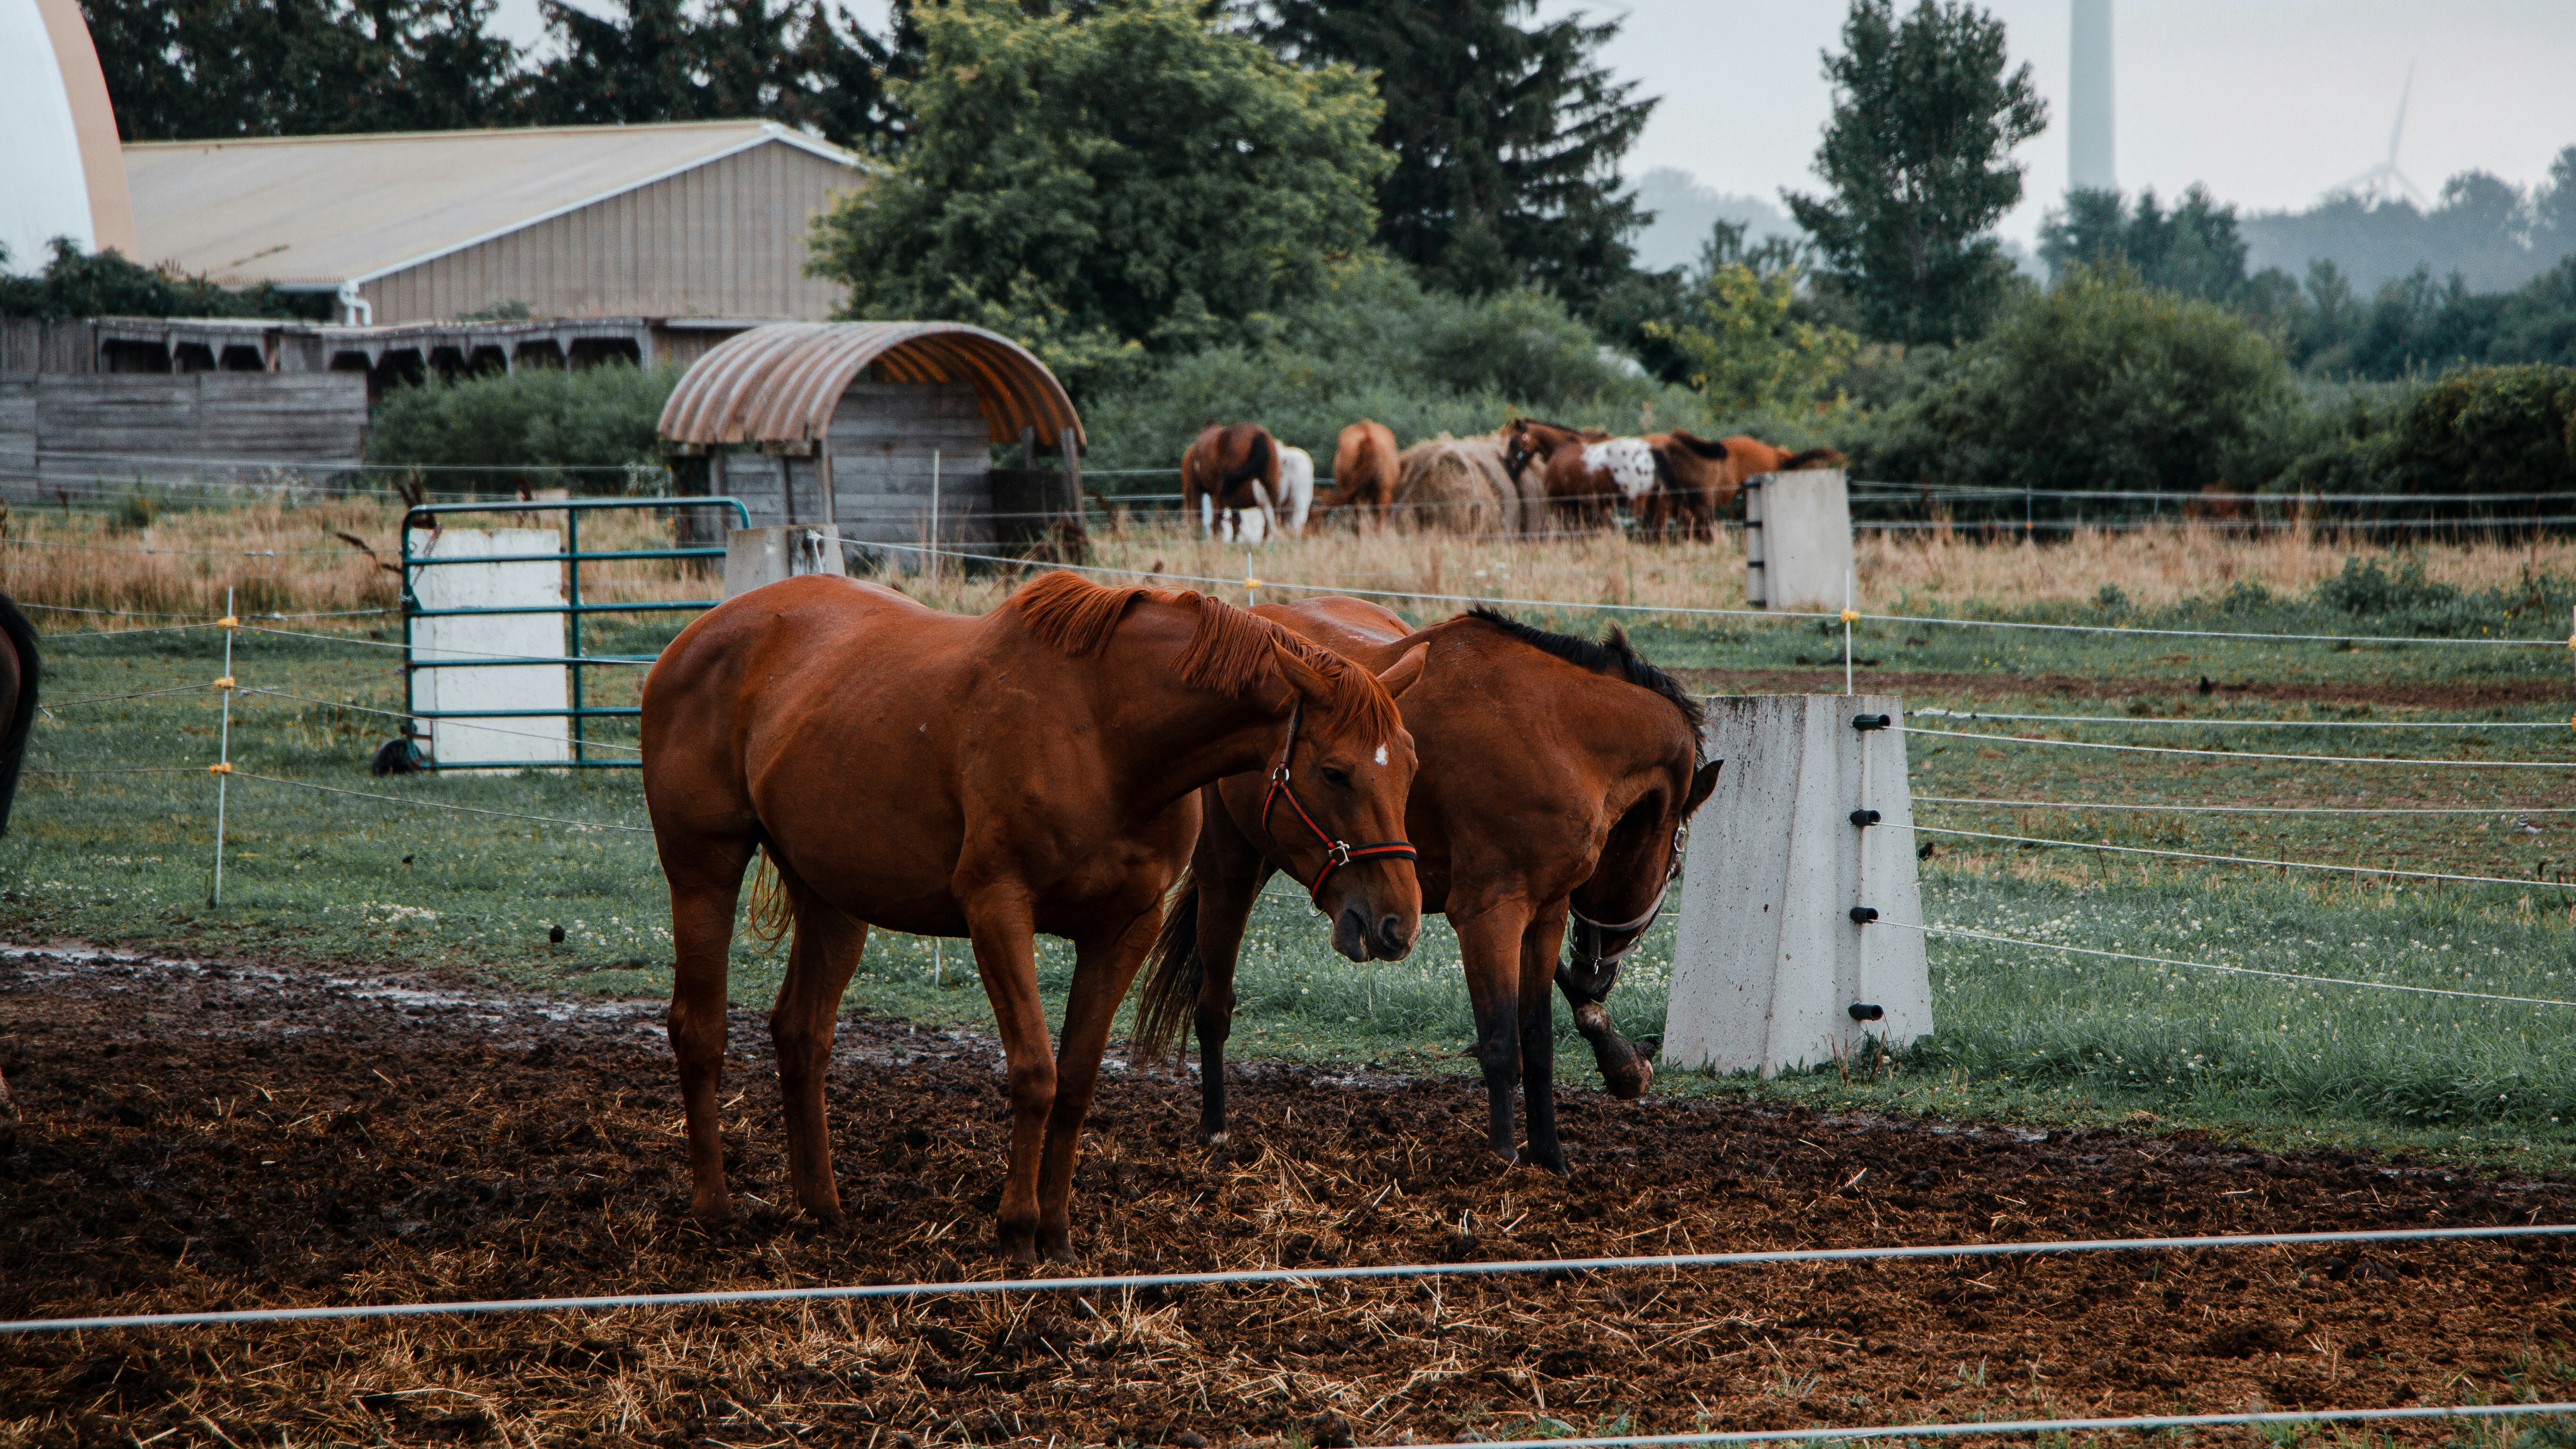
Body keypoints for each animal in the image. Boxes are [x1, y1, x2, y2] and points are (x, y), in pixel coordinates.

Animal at [639, 570, 1426, 1260]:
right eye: (1335, 772)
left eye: (1411, 766)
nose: (1395, 921)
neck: (1107, 732)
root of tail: (694, 638)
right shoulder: (998, 911)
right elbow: (1034, 1074)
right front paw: (1017, 1230)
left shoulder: (1123, 930)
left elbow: (1075, 1082)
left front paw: (1056, 1232)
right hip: (703, 870)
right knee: (699, 1030)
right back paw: (715, 1207)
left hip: (833, 899)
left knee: (802, 1033)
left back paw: (823, 1206)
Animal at [1135, 598, 1719, 1173]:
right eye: (1675, 868)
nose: (1597, 972)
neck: (1555, 732)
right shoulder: (1490, 915)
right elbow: (1501, 1042)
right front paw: (1504, 1158)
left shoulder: (1546, 914)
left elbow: (1537, 1040)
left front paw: (1550, 1157)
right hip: (1231, 871)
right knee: (1212, 1003)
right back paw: (1214, 1127)